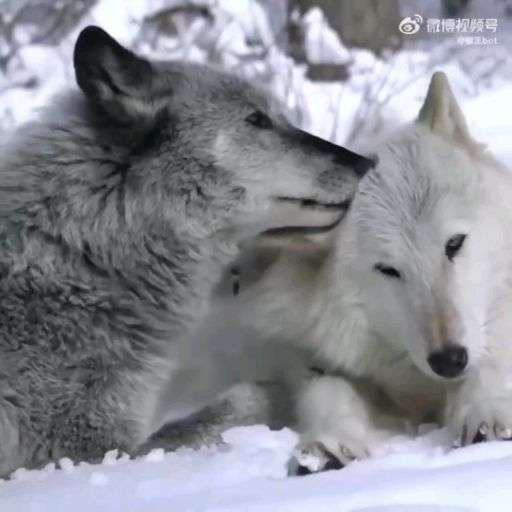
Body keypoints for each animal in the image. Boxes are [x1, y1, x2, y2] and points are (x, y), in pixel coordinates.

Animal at [230, 71, 512, 472]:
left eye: (454, 244)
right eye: (388, 269)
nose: (448, 360)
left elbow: (488, 366)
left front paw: (485, 415)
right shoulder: (311, 357)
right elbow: (328, 392)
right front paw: (327, 446)